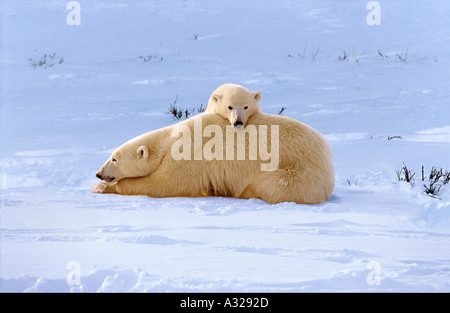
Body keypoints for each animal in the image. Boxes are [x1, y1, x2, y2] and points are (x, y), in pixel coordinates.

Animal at [92, 111, 334, 204]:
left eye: (114, 159)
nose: (99, 173)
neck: (171, 139)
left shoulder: (189, 154)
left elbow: (165, 184)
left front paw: (103, 188)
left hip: (295, 173)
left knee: (269, 185)